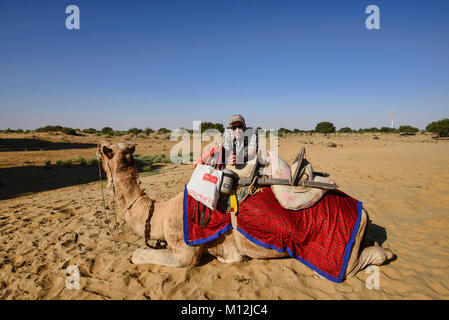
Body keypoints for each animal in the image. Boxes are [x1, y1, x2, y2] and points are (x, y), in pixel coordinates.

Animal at [97, 142, 392, 280]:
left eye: (104, 151)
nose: (98, 148)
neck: (159, 213)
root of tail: (364, 212)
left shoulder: (185, 250)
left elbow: (136, 254)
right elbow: (231, 256)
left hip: (336, 254)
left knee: (364, 261)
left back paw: (384, 253)